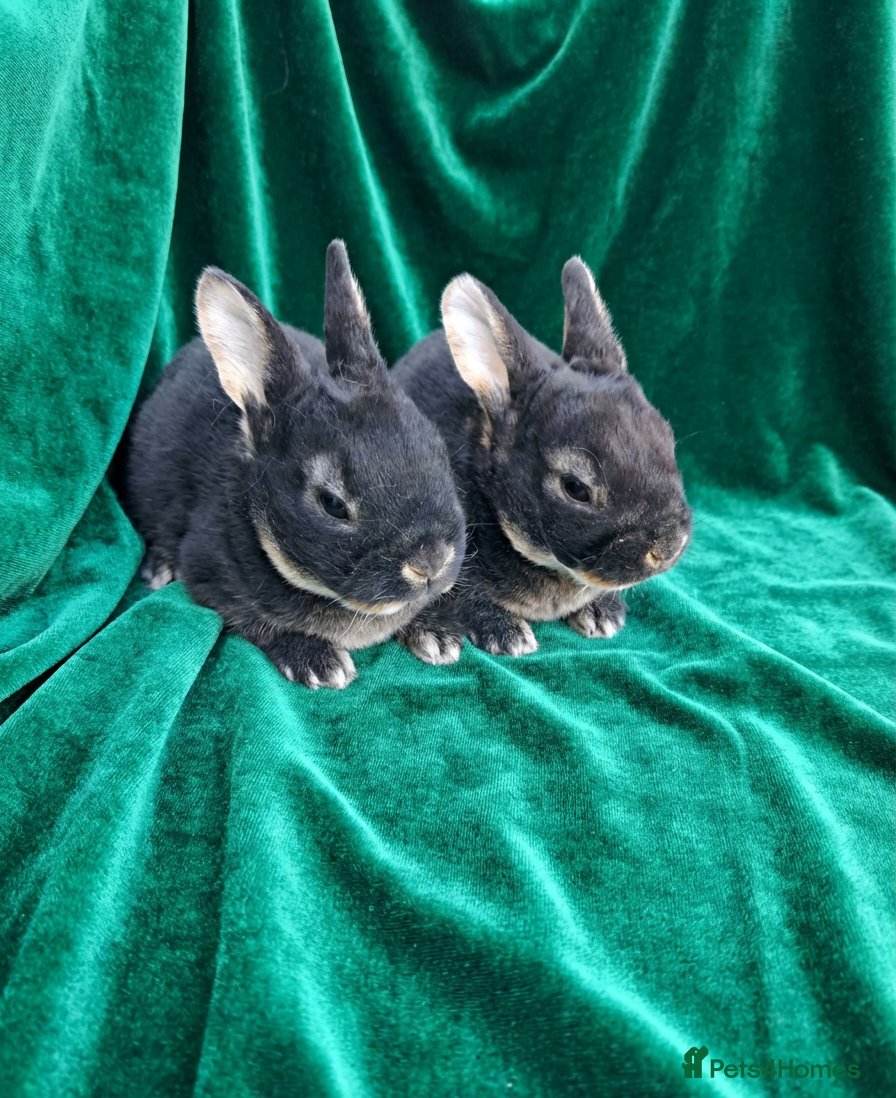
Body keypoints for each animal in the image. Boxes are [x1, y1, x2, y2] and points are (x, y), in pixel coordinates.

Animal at [124, 240, 465, 688]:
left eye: (438, 450)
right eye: (332, 504)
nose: (430, 563)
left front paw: (437, 635)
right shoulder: (209, 575)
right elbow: (258, 623)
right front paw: (320, 664)